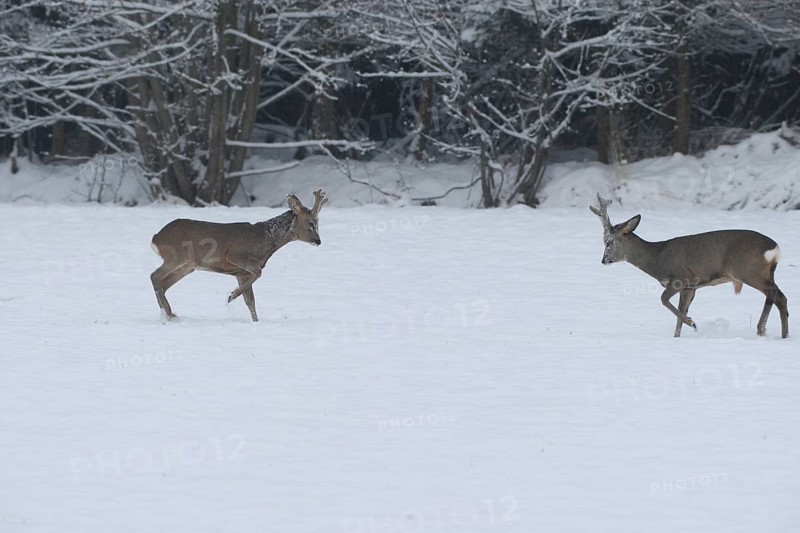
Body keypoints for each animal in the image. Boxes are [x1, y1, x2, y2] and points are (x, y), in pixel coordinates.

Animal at [150, 189, 328, 322]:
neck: (265, 240)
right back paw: (167, 314)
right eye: (310, 223)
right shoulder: (235, 255)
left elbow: (250, 301)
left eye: (318, 223)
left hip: (187, 267)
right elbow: (258, 273)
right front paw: (231, 296)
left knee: (163, 283)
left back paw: (169, 313)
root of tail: (156, 238)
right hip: (176, 256)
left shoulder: (241, 273)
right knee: (154, 276)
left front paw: (255, 321)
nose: (318, 241)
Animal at [590, 193, 789, 338]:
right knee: (781, 297)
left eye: (609, 242)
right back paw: (784, 335)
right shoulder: (691, 287)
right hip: (762, 272)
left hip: (748, 270)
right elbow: (680, 309)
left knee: (773, 292)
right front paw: (678, 335)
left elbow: (663, 300)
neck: (656, 258)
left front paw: (692, 323)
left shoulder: (681, 277)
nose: (604, 260)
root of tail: (775, 248)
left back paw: (761, 329)